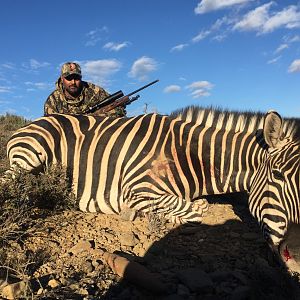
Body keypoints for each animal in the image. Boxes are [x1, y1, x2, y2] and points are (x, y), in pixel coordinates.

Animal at [4, 107, 300, 272]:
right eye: (277, 176)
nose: (295, 256)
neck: (191, 156)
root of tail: (28, 124)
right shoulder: (137, 188)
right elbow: (196, 210)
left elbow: (197, 205)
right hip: (30, 155)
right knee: (12, 184)